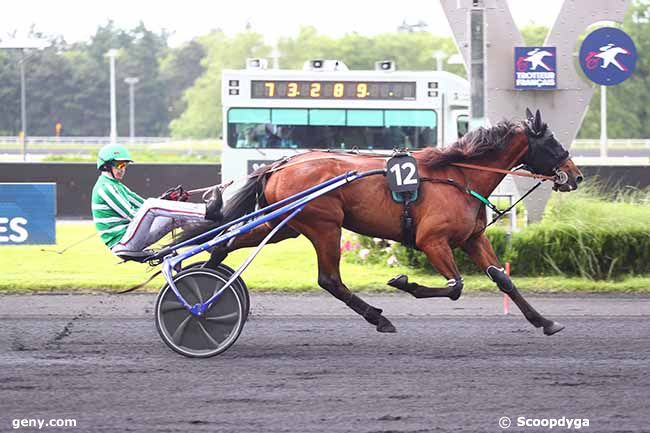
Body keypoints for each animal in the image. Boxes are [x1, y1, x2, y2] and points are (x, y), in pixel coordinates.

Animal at [190, 107, 580, 334]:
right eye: (553, 143)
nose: (575, 176)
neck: (458, 175)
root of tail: (280, 165)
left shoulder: (473, 238)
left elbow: (503, 279)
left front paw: (545, 321)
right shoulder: (431, 240)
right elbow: (455, 286)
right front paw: (404, 282)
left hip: (284, 224)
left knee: (230, 240)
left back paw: (208, 274)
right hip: (323, 226)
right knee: (330, 280)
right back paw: (378, 317)